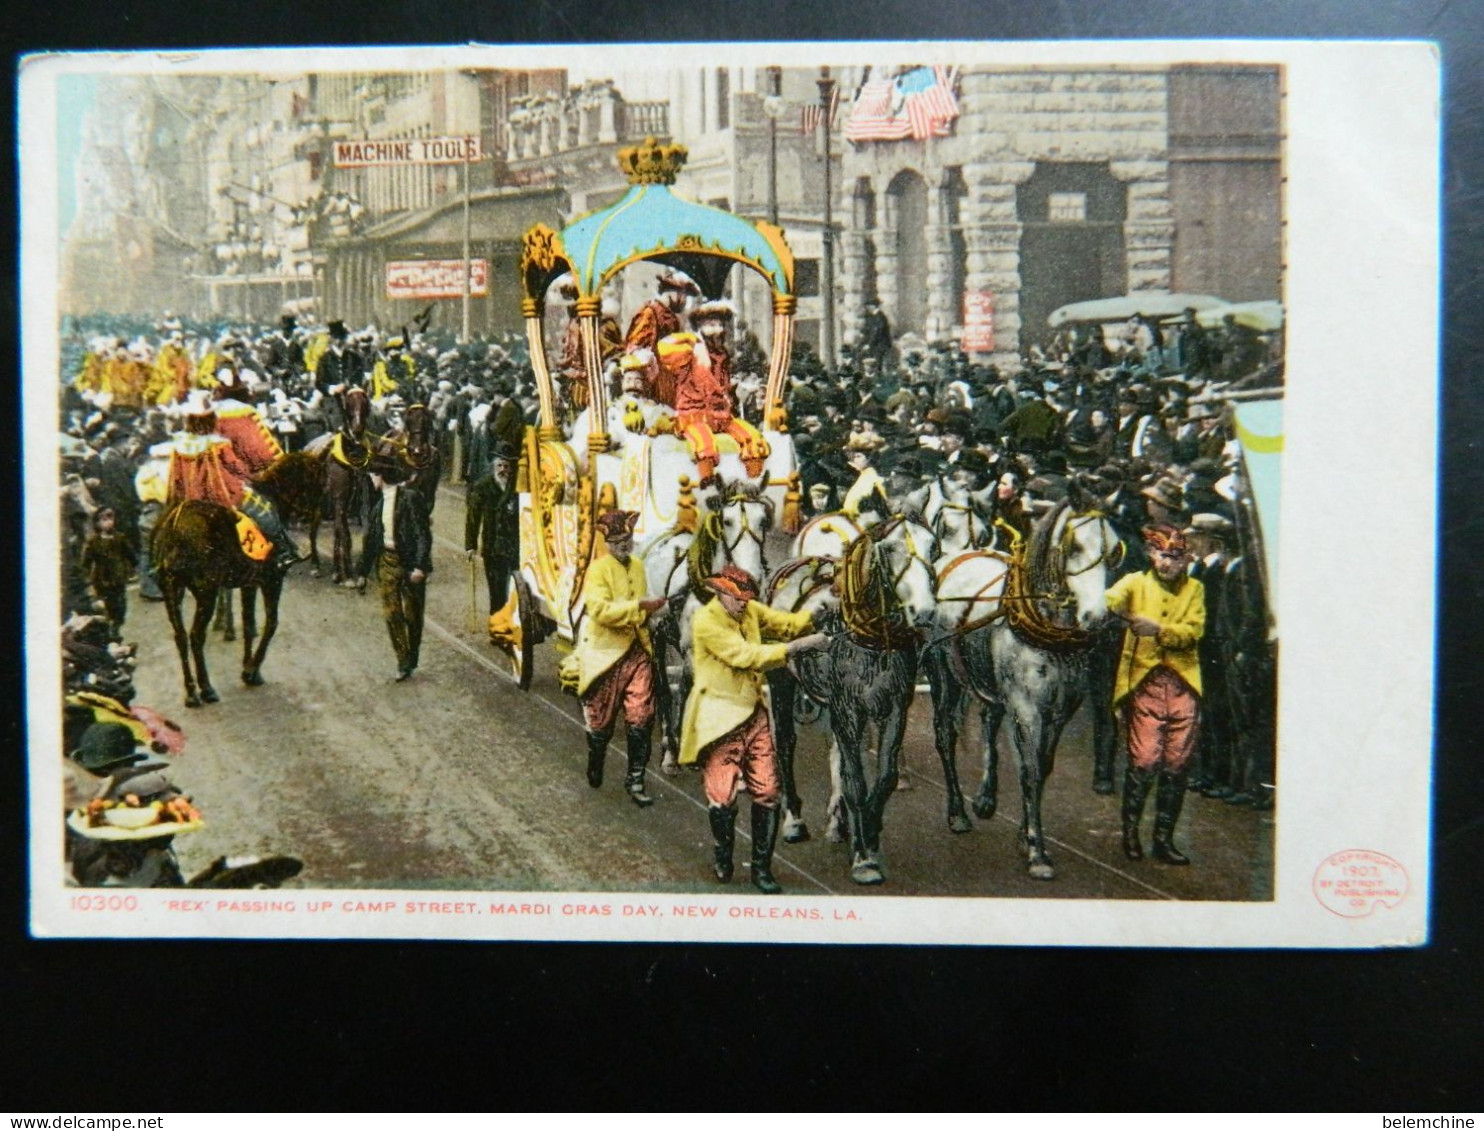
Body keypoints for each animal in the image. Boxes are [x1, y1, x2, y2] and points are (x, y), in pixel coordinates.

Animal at [153, 448, 327, 706]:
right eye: (319, 482)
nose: (315, 516)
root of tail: (175, 524)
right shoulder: (272, 579)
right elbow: (271, 623)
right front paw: (252, 670)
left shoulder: (249, 583)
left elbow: (248, 623)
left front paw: (247, 668)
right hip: (206, 592)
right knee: (195, 636)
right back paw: (206, 689)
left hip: (172, 589)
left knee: (181, 636)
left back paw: (191, 692)